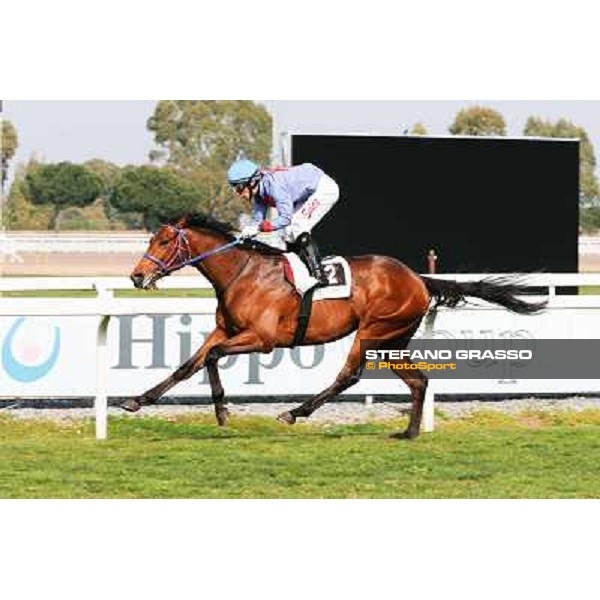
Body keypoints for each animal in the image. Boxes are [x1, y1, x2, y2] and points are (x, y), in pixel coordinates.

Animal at [122, 213, 544, 438]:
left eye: (163, 242)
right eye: (152, 240)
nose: (136, 276)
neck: (244, 273)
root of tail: (419, 279)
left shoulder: (261, 339)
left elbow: (212, 358)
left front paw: (223, 411)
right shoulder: (224, 331)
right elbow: (189, 364)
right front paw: (137, 400)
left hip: (372, 332)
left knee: (348, 377)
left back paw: (294, 412)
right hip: (392, 341)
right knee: (419, 381)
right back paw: (408, 432)